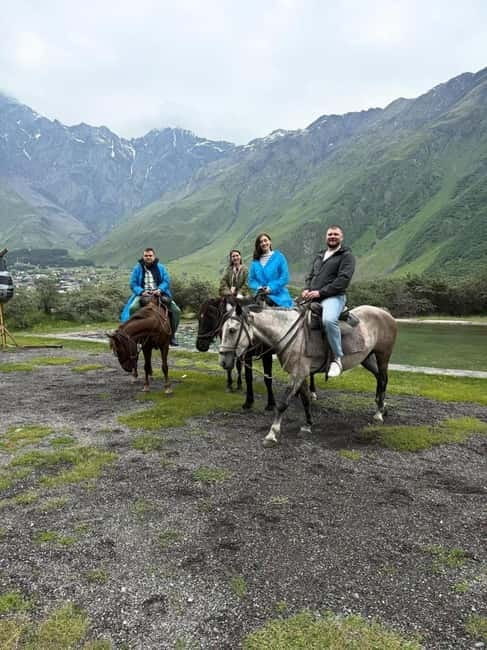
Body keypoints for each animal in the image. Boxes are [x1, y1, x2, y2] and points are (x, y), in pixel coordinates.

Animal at [219, 304, 397, 447]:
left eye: (232, 330)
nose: (223, 362)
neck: (290, 334)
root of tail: (384, 312)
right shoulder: (301, 374)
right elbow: (305, 399)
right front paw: (308, 425)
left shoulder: (297, 374)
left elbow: (283, 404)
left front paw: (272, 434)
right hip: (367, 358)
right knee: (379, 378)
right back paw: (382, 406)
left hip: (383, 356)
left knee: (383, 379)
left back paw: (379, 413)